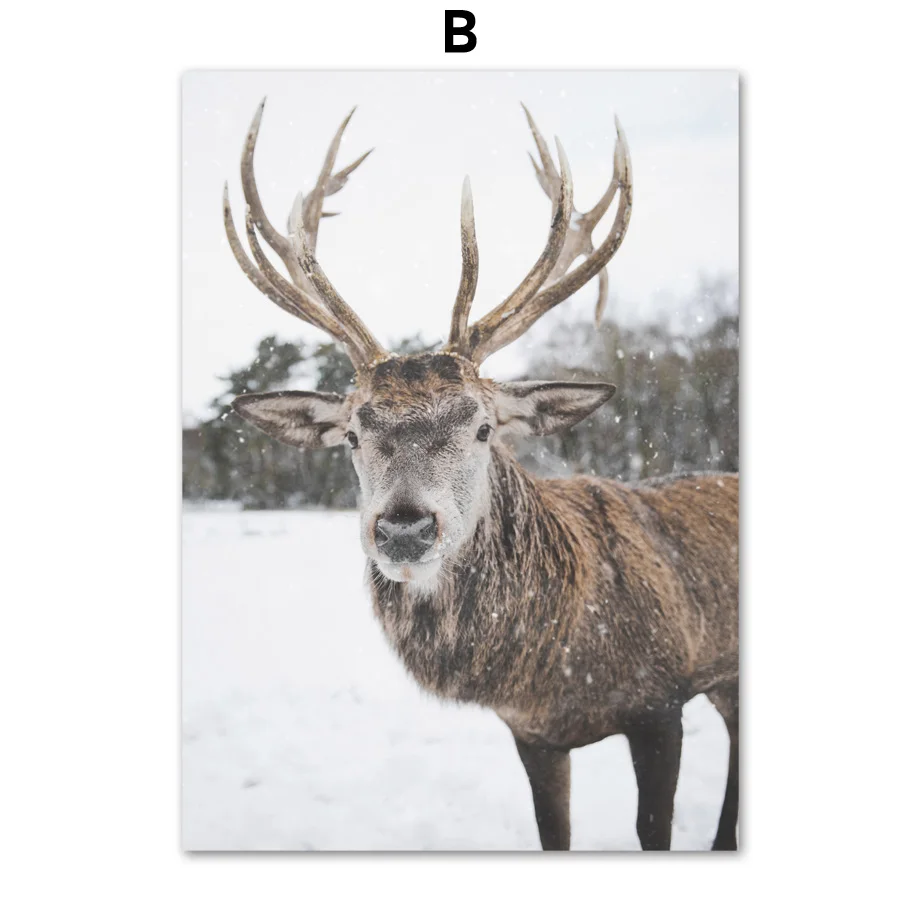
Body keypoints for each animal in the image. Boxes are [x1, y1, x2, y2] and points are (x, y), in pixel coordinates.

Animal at [222, 99, 739, 851]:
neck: (555, 668)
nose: (405, 528)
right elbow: (553, 834)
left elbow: (653, 829)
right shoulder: (532, 735)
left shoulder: (662, 699)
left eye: (484, 427)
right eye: (352, 434)